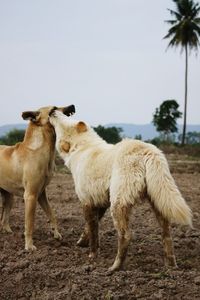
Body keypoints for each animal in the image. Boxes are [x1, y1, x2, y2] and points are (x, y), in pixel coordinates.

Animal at [0, 105, 75, 251]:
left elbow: (52, 214)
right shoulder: (31, 196)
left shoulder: (41, 194)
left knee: (4, 217)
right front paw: (29, 246)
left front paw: (56, 234)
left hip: (9, 196)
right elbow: (29, 224)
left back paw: (7, 231)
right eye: (53, 109)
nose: (72, 106)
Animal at [50, 112, 192, 272]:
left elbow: (93, 230)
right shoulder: (101, 202)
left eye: (62, 123)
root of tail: (147, 151)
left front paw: (92, 256)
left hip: (119, 203)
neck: (83, 147)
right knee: (166, 234)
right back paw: (171, 266)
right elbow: (90, 228)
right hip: (158, 200)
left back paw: (115, 267)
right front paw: (82, 242)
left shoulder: (87, 201)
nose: (52, 111)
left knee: (125, 235)